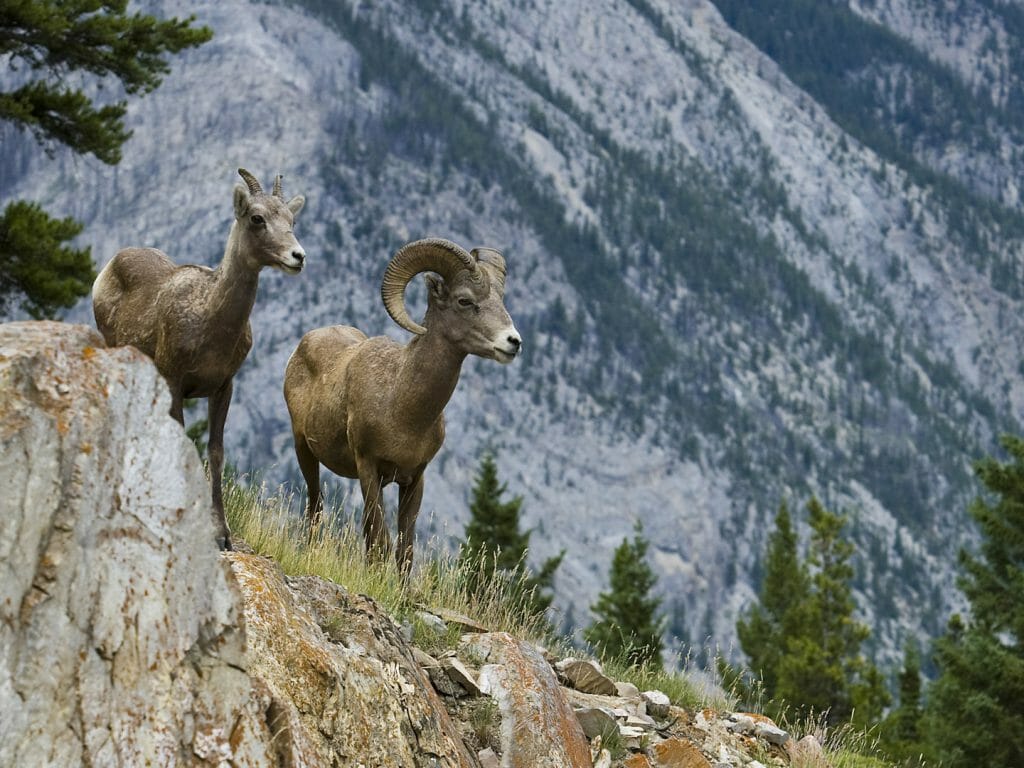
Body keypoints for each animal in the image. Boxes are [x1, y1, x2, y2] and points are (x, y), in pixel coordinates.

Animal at [92, 168, 307, 549]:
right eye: (257, 218)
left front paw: (221, 534)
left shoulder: (223, 386)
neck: (209, 320)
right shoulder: (174, 380)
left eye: (291, 219)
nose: (298, 256)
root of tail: (109, 267)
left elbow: (215, 452)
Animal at [283, 238, 522, 575]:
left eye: (500, 299)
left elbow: (404, 550)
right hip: (303, 449)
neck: (402, 408)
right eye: (464, 300)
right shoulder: (368, 469)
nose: (513, 342)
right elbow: (381, 541)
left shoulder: (414, 479)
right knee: (316, 506)